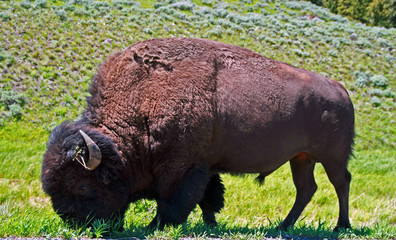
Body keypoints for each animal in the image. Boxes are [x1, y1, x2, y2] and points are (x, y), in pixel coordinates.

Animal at [41, 37, 354, 231]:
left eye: (83, 186)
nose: (76, 224)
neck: (143, 99)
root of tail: (340, 89)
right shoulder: (205, 166)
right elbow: (208, 198)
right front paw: (211, 224)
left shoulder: (181, 168)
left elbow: (173, 201)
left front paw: (156, 226)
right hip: (301, 157)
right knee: (306, 189)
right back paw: (283, 226)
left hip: (332, 157)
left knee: (340, 183)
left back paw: (341, 226)